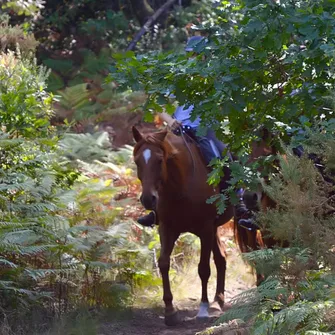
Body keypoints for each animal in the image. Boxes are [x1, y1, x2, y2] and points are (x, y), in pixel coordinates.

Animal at [133, 125, 235, 326]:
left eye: (160, 160)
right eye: (137, 161)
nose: (148, 199)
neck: (180, 185)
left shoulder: (205, 228)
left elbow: (203, 269)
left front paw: (202, 309)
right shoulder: (167, 228)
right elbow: (164, 263)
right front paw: (170, 312)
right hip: (214, 229)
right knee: (221, 258)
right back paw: (217, 302)